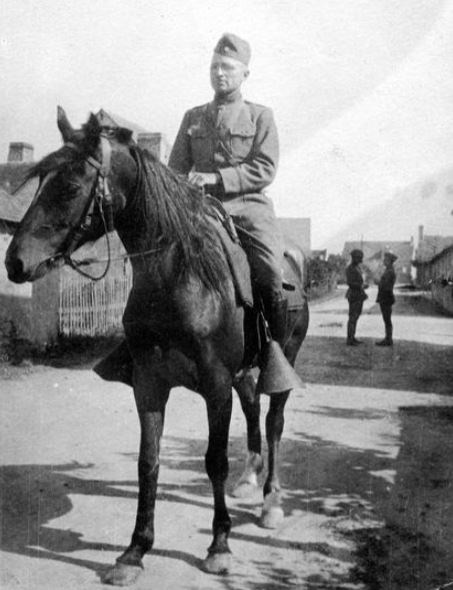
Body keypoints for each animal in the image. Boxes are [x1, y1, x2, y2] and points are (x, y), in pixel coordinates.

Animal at [4, 108, 308, 584]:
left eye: (69, 186)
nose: (15, 262)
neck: (180, 277)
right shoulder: (149, 383)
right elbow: (148, 462)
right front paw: (135, 550)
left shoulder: (215, 385)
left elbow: (214, 460)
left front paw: (219, 545)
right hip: (242, 374)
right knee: (254, 411)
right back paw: (248, 480)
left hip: (281, 362)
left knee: (274, 422)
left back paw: (270, 501)